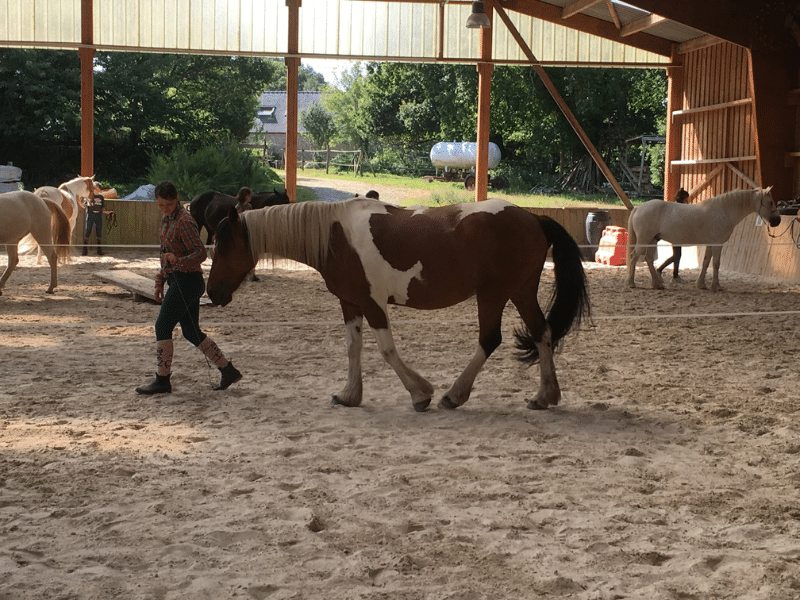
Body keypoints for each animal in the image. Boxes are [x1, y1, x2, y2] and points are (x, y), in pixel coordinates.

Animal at [208, 197, 592, 412]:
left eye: (224, 246)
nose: (212, 292)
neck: (336, 236)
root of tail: (534, 218)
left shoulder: (373, 304)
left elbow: (387, 351)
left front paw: (420, 394)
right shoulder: (350, 304)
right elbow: (353, 348)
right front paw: (349, 395)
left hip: (495, 294)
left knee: (490, 339)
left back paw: (454, 395)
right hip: (520, 291)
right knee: (542, 333)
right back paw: (544, 396)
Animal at [624, 186, 780, 292]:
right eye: (771, 202)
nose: (777, 220)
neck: (724, 210)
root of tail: (638, 208)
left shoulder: (711, 244)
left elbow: (706, 262)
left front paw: (701, 284)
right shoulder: (717, 244)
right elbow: (716, 264)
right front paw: (716, 286)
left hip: (652, 240)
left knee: (649, 259)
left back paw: (657, 284)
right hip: (644, 240)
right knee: (633, 257)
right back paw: (631, 283)